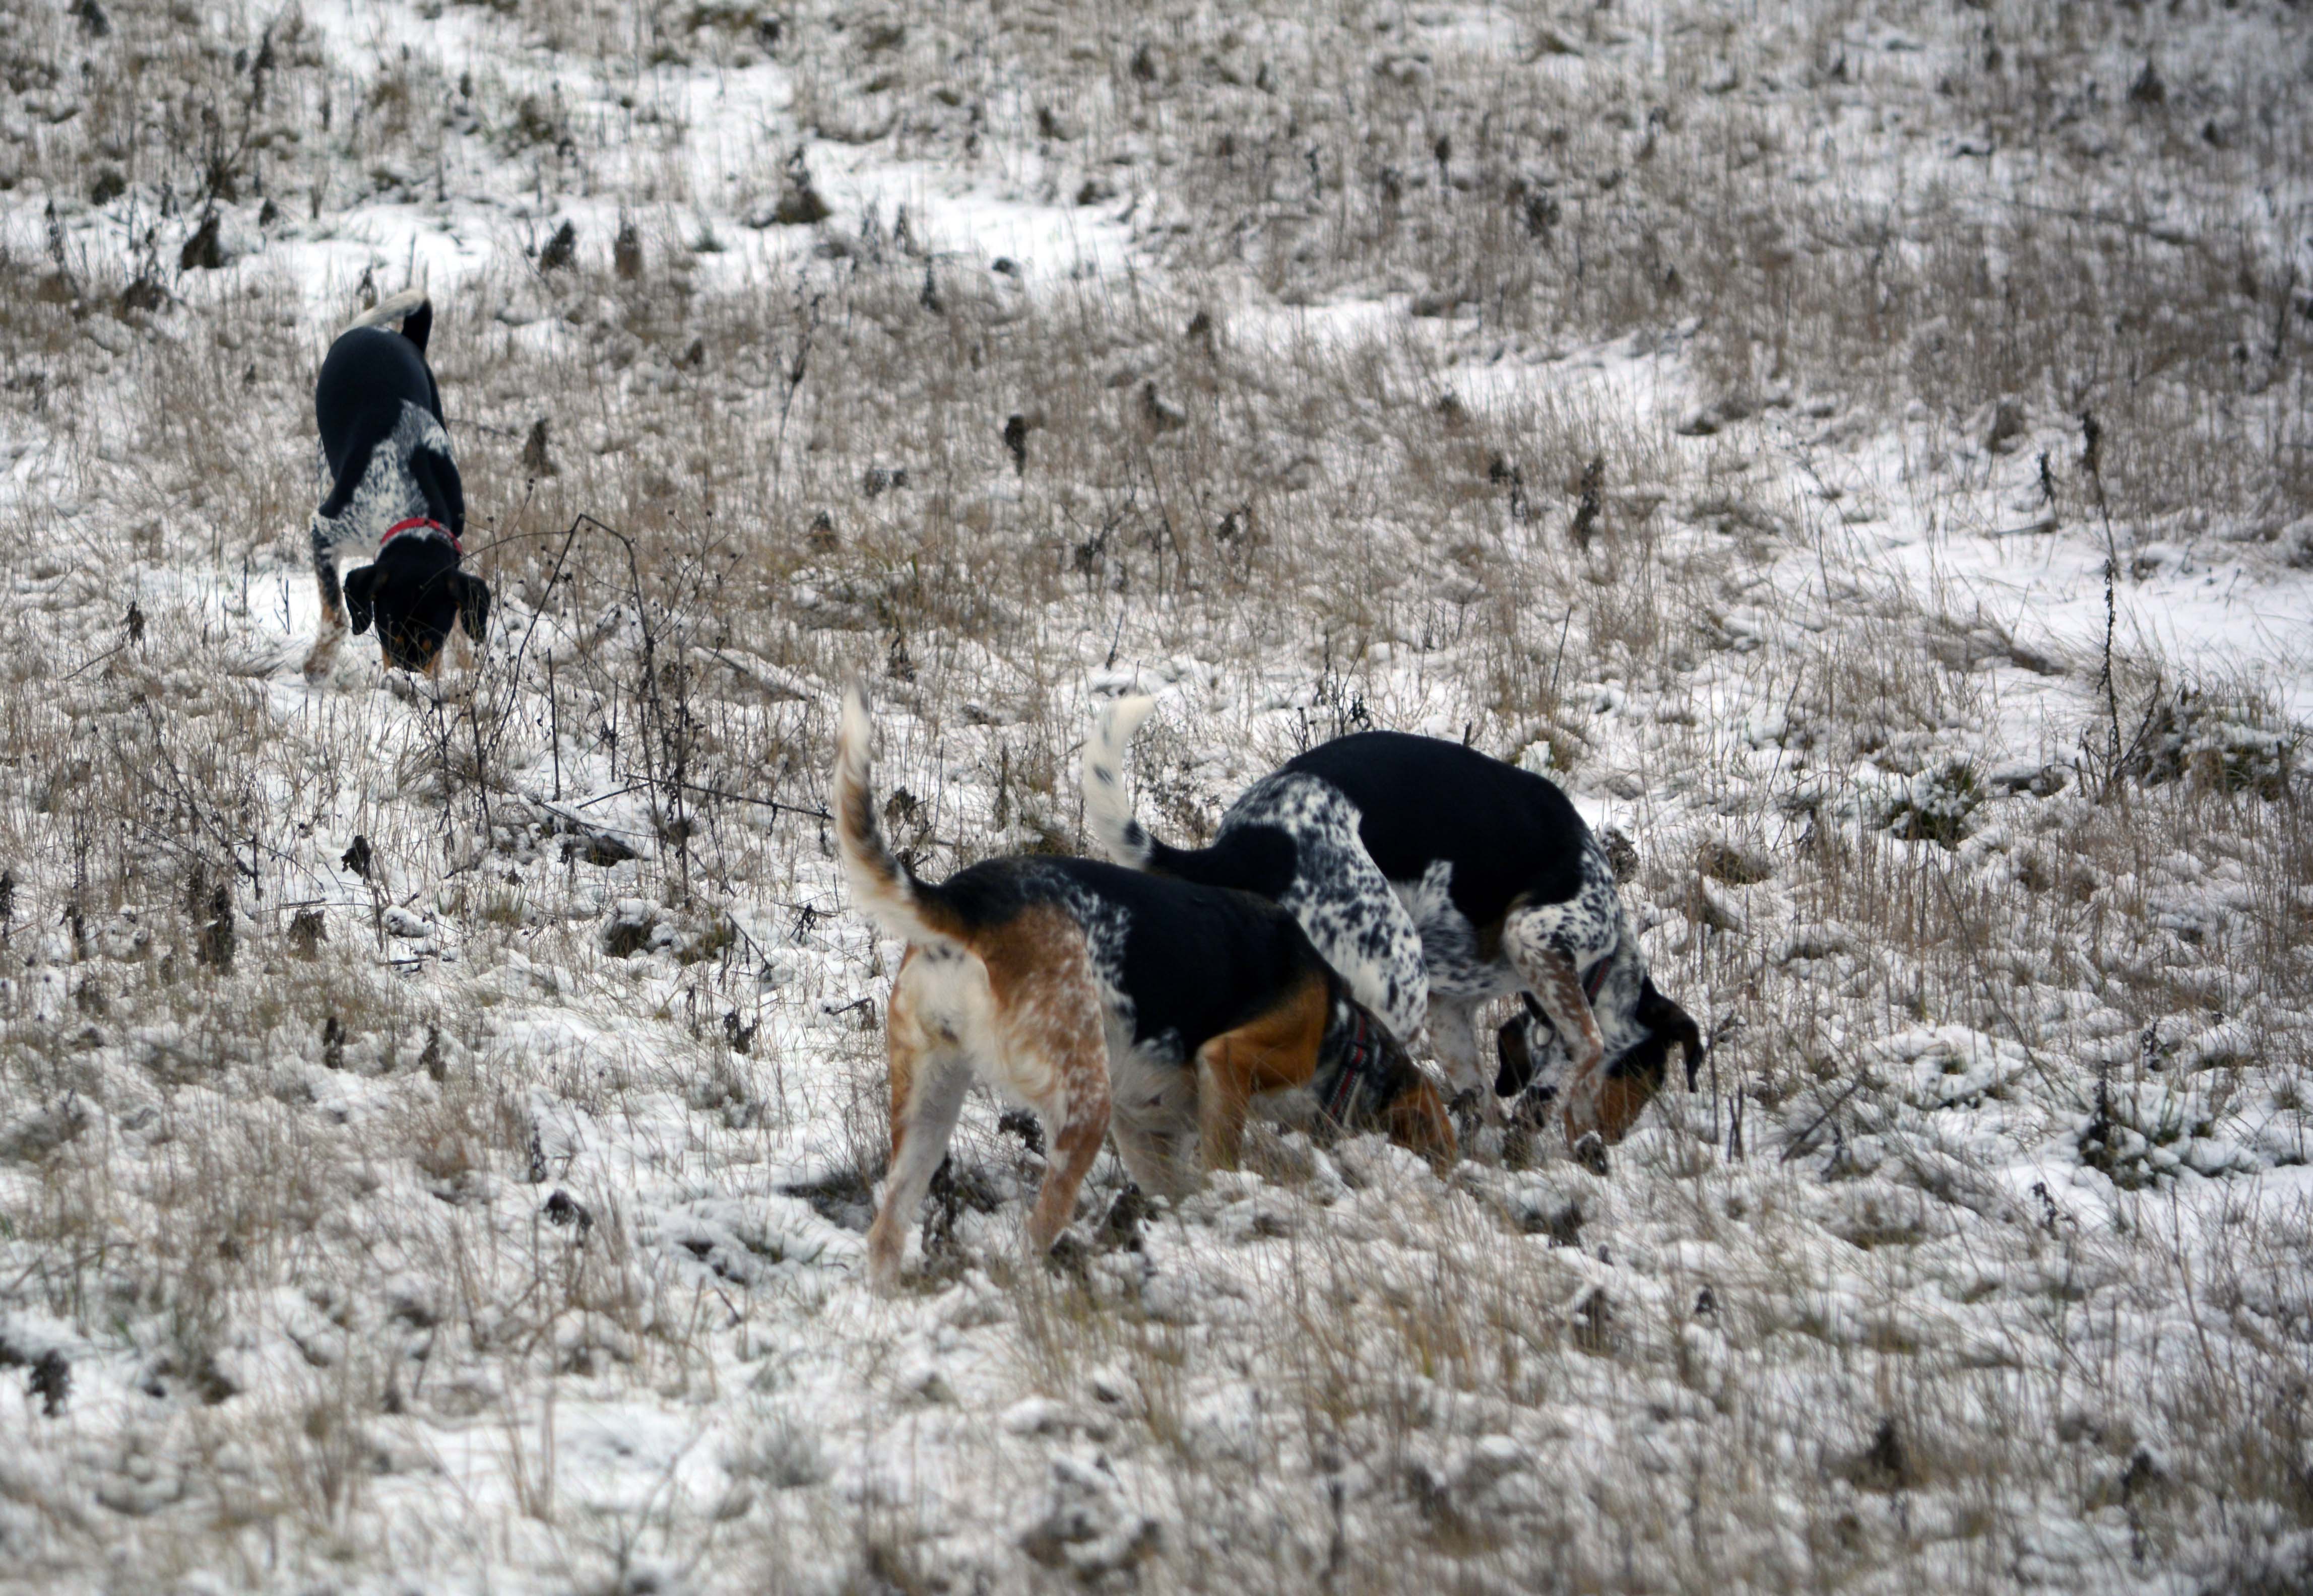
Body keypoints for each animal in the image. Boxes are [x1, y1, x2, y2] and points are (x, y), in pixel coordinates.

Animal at [303, 289, 488, 675]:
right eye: (389, 632)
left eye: (437, 638)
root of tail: (384, 333)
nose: (408, 679)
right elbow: (337, 617)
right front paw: (318, 667)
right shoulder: (324, 530)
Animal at [832, 680, 1452, 1277]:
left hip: (929, 1103)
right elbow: (1222, 1162)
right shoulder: (1229, 1064)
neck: (1342, 1031)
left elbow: (1180, 1190)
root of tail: (970, 900)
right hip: (1083, 1105)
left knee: (886, 1234)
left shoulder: (1145, 1133)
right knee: (1038, 1229)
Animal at [1077, 694, 1702, 1143]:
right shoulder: (1540, 938)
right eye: (1651, 1080)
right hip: (1393, 979)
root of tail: (1242, 845)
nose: (1609, 1151)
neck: (1609, 958)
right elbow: (1588, 1046)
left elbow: (1483, 1095)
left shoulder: (1452, 1013)